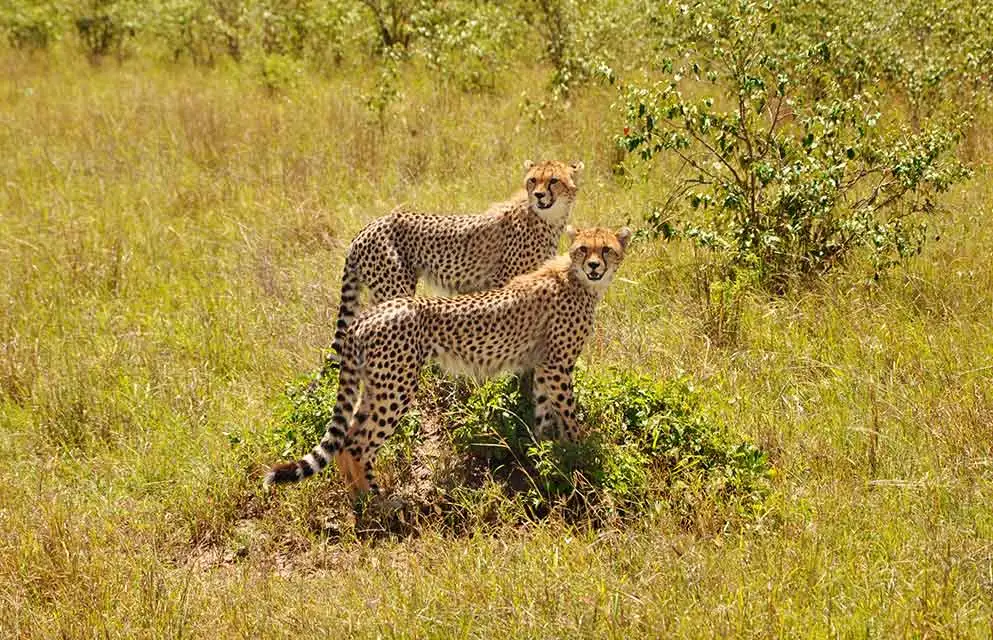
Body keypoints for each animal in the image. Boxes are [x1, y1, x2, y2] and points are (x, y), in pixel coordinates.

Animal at [265, 225, 631, 495]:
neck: (576, 279)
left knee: (345, 440)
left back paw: (359, 500)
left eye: (606, 250)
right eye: (583, 249)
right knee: (357, 443)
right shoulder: (557, 366)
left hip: (378, 384)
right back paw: (379, 502)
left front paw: (543, 456)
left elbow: (543, 414)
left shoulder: (543, 366)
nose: (594, 266)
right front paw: (580, 453)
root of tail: (367, 316)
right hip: (397, 387)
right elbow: (569, 416)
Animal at [325, 160, 584, 365]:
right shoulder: (508, 284)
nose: (539, 195)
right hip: (394, 288)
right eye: (532, 180)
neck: (546, 219)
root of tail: (366, 228)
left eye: (553, 181)